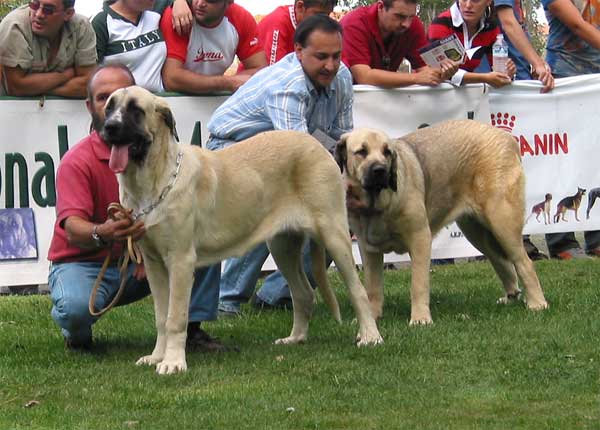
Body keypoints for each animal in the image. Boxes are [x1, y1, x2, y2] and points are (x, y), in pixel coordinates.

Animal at [98, 86, 380, 372]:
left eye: (136, 110)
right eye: (109, 107)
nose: (109, 127)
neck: (154, 180)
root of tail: (316, 144)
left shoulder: (180, 260)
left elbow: (175, 317)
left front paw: (173, 362)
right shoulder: (154, 264)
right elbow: (160, 317)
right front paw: (157, 356)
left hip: (334, 234)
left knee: (357, 291)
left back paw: (370, 336)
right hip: (282, 246)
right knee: (304, 293)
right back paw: (295, 338)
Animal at [336, 119, 552, 324]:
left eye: (387, 152)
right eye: (361, 152)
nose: (380, 170)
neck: (378, 205)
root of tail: (506, 137)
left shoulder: (420, 238)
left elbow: (418, 284)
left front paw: (420, 319)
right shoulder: (369, 249)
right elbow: (372, 288)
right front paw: (371, 318)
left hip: (502, 222)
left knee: (523, 262)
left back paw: (537, 303)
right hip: (477, 232)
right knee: (501, 260)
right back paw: (511, 297)